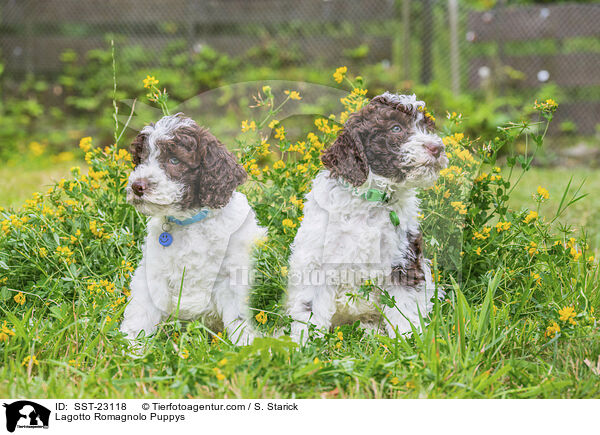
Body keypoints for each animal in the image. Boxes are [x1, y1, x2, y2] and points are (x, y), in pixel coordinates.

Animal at [119, 114, 264, 346]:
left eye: (174, 160)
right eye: (142, 159)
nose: (137, 186)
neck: (188, 222)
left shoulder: (232, 275)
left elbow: (238, 316)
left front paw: (246, 345)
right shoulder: (153, 273)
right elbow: (140, 312)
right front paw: (130, 346)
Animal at [286, 93, 446, 344]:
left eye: (426, 127)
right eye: (396, 128)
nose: (437, 147)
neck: (373, 200)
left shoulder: (403, 260)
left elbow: (403, 305)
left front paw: (409, 340)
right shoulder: (316, 261)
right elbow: (309, 308)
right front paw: (305, 344)